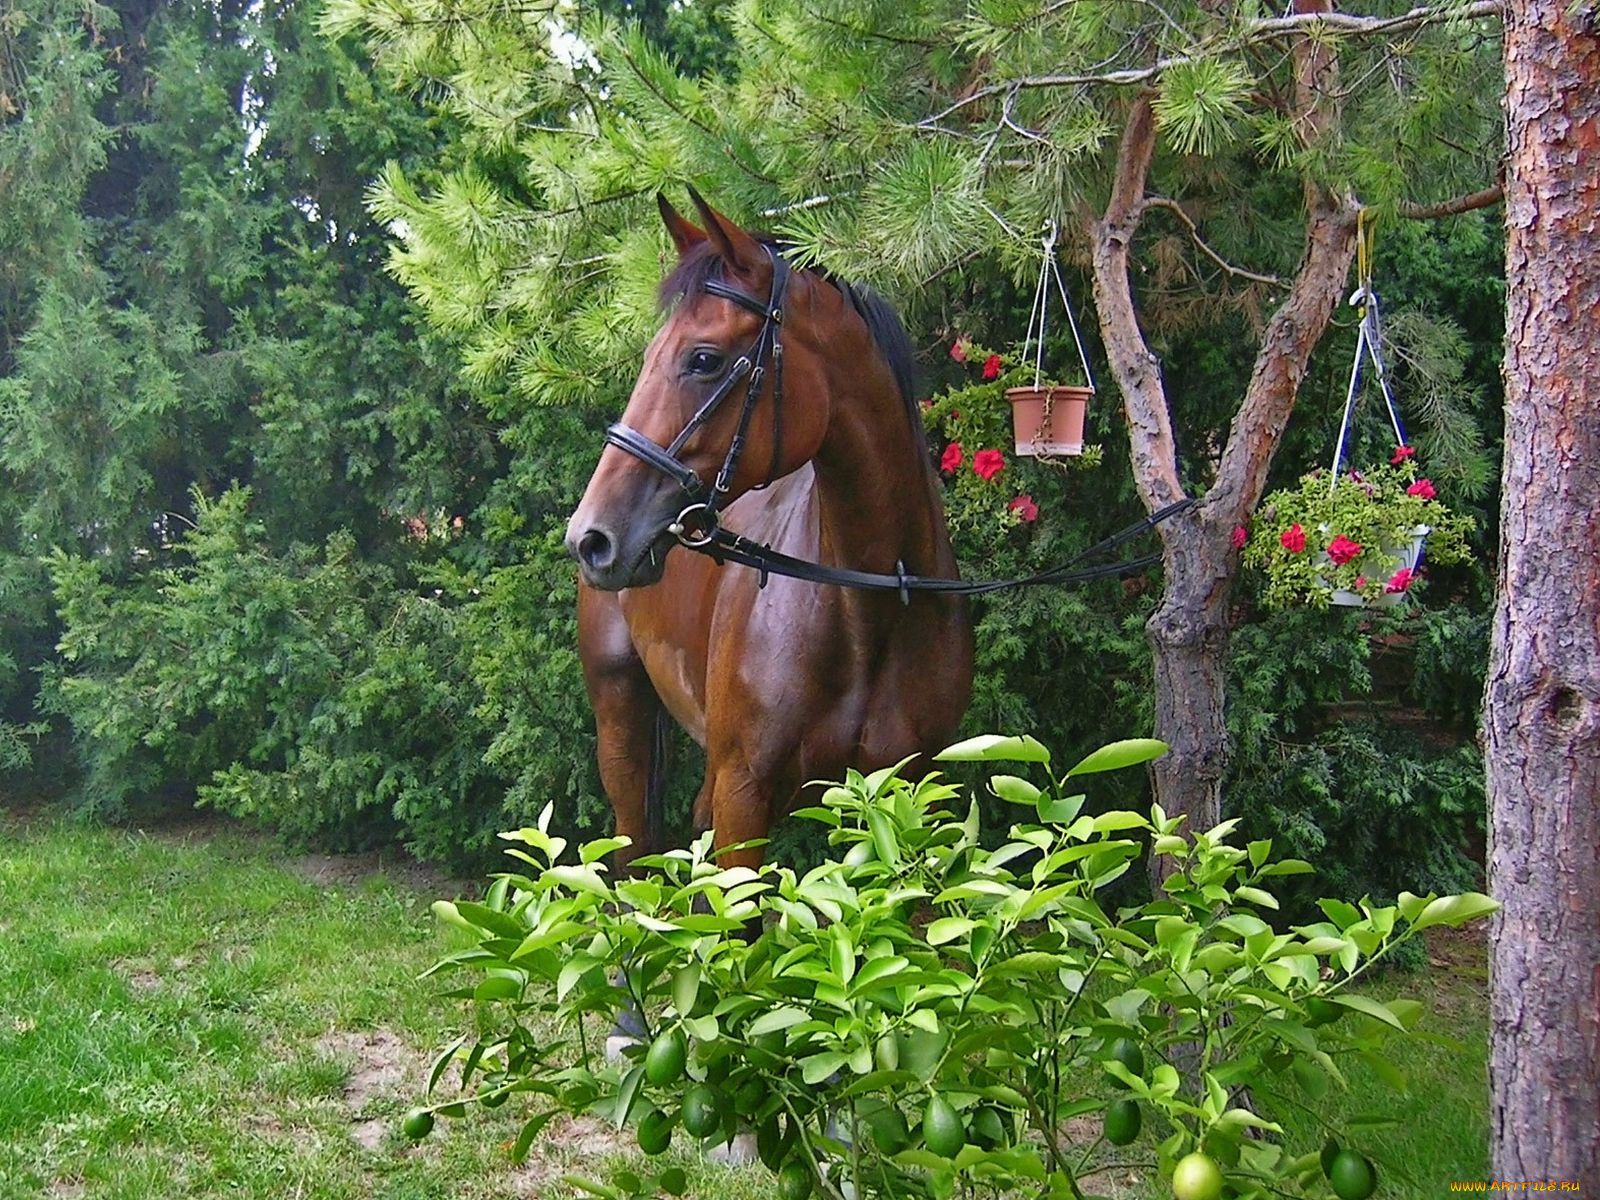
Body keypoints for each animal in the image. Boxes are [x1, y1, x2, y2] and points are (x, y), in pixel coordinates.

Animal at [564, 189, 974, 872]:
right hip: (620, 719)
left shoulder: (908, 796)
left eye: (703, 359)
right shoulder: (744, 792)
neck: (869, 602)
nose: (590, 538)